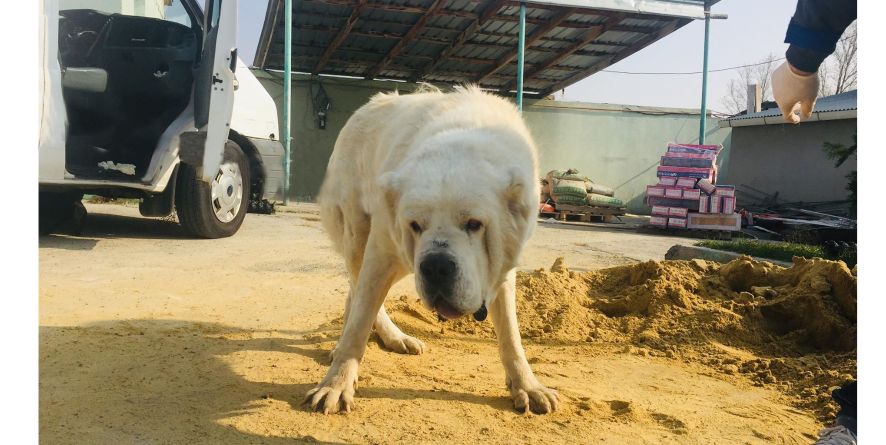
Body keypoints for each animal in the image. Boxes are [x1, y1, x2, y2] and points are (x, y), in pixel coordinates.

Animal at [308, 86, 560, 412]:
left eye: (474, 224)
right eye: (416, 225)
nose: (437, 266)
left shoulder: (503, 264)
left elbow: (510, 333)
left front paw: (527, 386)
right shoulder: (383, 247)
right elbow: (359, 325)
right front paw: (336, 384)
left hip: (404, 261)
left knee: (355, 289)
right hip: (364, 237)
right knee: (358, 285)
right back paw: (389, 337)